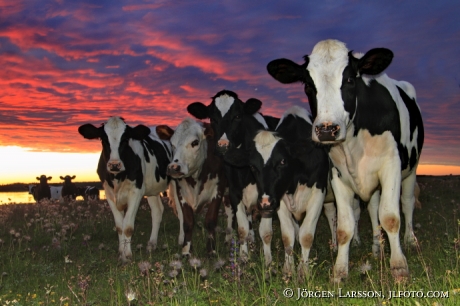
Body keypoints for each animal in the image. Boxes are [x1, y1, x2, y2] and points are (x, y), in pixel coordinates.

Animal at [78, 117, 173, 262]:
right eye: (103, 138)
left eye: (125, 139)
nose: (114, 165)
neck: (118, 177)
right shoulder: (109, 193)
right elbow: (119, 226)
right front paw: (120, 252)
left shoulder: (136, 192)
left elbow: (127, 226)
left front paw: (127, 255)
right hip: (152, 189)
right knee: (157, 211)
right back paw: (152, 244)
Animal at [156, 118, 230, 256]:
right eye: (172, 144)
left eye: (195, 142)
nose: (173, 167)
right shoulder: (182, 193)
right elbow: (188, 223)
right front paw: (186, 250)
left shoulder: (218, 190)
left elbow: (210, 221)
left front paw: (211, 250)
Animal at [186, 89, 280, 266]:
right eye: (212, 118)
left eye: (237, 116)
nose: (222, 146)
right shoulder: (235, 192)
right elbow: (242, 228)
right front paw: (243, 257)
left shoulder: (267, 195)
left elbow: (265, 230)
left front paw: (268, 261)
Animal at [266, 38, 424, 282]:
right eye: (308, 85)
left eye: (350, 79)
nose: (326, 130)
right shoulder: (337, 175)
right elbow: (345, 227)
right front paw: (340, 270)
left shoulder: (391, 166)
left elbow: (390, 217)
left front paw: (399, 267)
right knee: (372, 208)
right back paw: (377, 248)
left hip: (411, 168)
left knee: (406, 203)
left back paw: (409, 240)